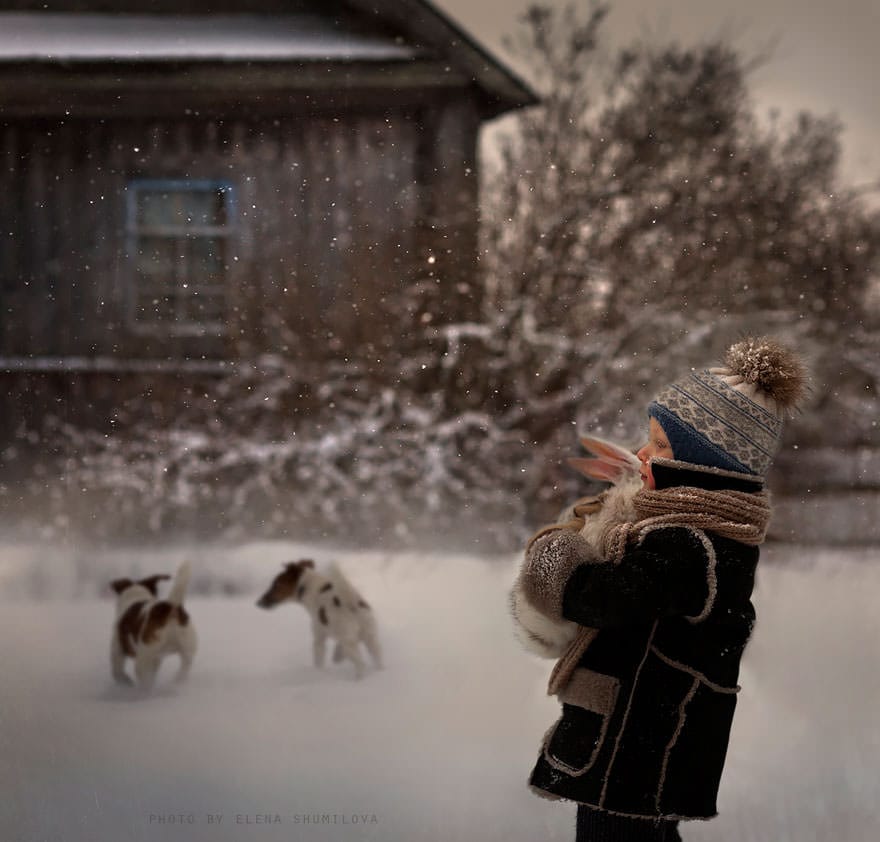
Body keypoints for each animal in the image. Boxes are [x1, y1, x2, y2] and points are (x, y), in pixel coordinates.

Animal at [111, 556, 197, 688]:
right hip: (187, 649)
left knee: (145, 680)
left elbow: (118, 672)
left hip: (144, 658)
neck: (136, 594)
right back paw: (176, 682)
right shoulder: (156, 659)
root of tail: (170, 606)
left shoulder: (117, 650)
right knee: (184, 668)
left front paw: (126, 683)